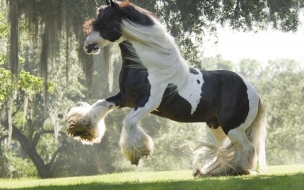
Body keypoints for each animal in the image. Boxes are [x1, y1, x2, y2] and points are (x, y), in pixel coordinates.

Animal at [66, 0, 266, 176]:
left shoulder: (149, 102)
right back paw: (221, 171)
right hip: (219, 128)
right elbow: (100, 104)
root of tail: (254, 93)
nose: (87, 46)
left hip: (233, 129)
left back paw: (238, 170)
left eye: (106, 21)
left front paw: (138, 154)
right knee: (232, 149)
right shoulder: (125, 97)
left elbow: (128, 121)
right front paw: (81, 129)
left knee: (248, 149)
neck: (150, 65)